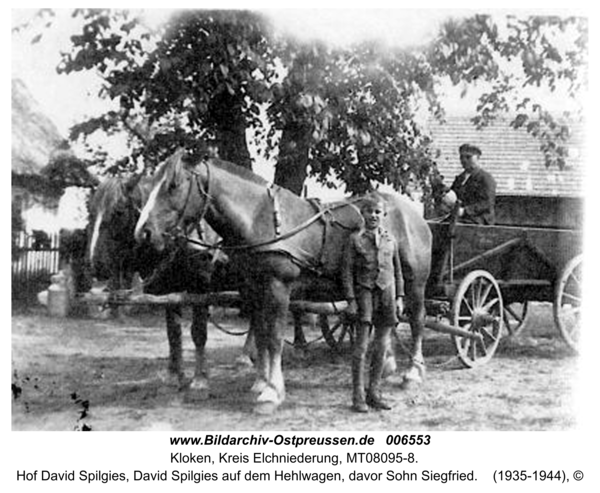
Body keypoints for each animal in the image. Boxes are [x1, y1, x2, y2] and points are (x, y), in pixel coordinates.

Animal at [135, 150, 432, 412]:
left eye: (173, 184)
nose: (143, 232)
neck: (260, 218)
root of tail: (413, 214)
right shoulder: (254, 288)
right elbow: (262, 336)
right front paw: (260, 382)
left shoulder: (278, 287)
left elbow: (275, 337)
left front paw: (271, 392)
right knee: (388, 324)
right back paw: (388, 367)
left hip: (415, 284)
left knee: (417, 320)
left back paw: (413, 373)